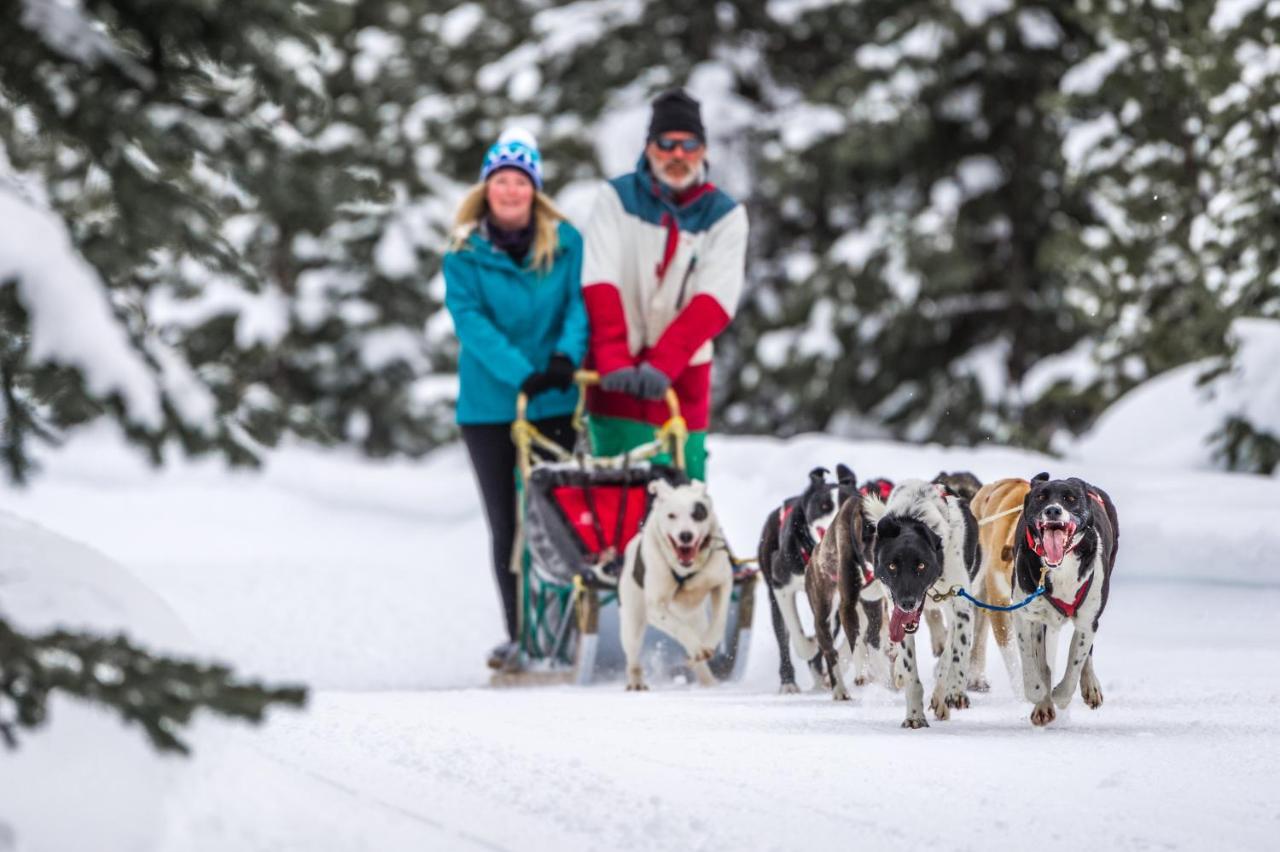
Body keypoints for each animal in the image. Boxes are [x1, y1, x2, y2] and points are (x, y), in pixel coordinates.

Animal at [752, 465, 855, 690]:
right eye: (824, 506)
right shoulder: (781, 587)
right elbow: (796, 632)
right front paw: (808, 646)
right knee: (783, 637)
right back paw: (788, 682)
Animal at [860, 478, 977, 721]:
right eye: (892, 566)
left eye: (921, 565)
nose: (907, 602)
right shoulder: (898, 611)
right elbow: (909, 668)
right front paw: (914, 716)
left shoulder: (962, 605)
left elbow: (957, 650)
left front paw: (955, 690)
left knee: (949, 650)